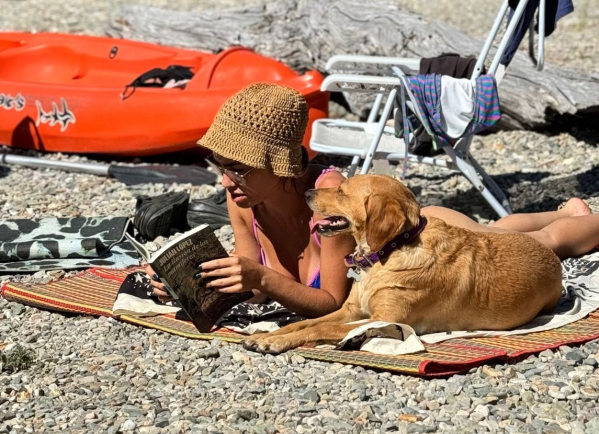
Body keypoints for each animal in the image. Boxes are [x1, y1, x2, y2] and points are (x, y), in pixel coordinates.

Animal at [243, 174, 563, 354]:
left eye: (342, 191)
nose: (307, 193)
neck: (390, 249)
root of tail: (555, 259)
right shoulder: (351, 311)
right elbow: (305, 322)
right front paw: (269, 334)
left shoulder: (381, 319)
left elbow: (318, 328)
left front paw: (274, 342)